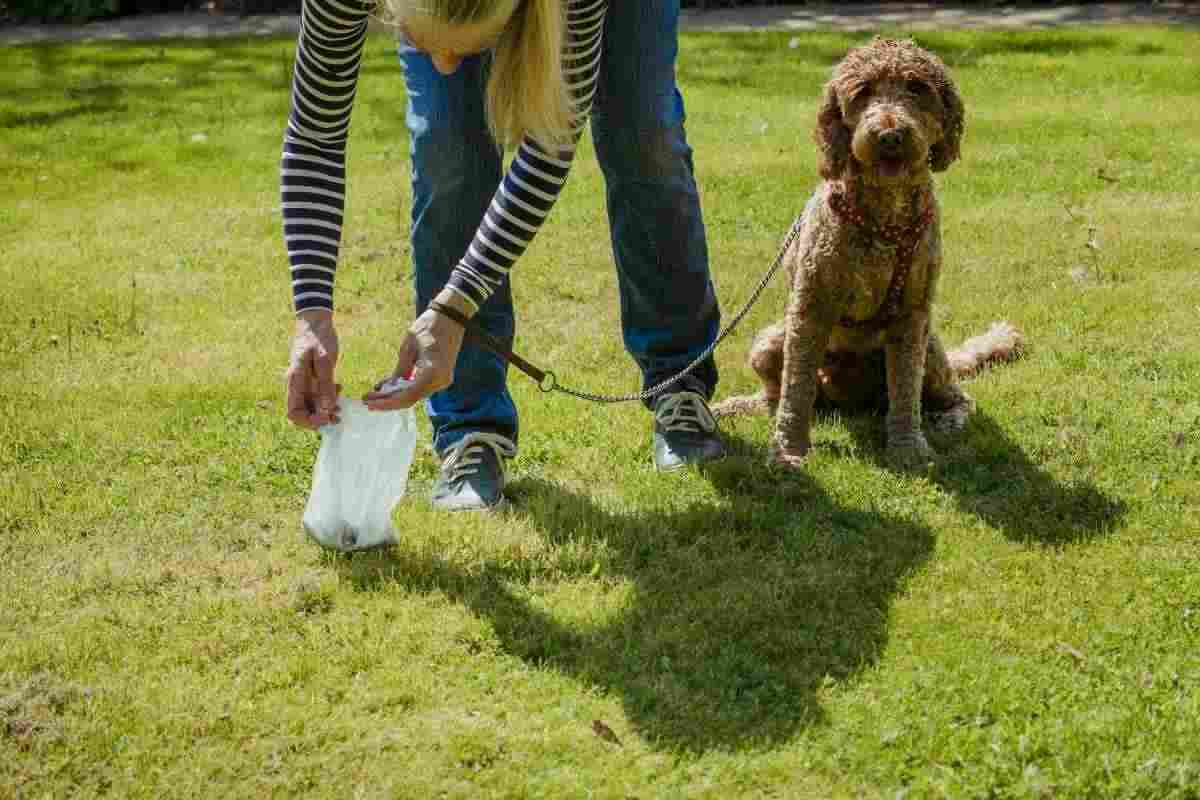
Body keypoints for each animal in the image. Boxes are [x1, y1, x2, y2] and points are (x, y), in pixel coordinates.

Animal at [710, 38, 1022, 470]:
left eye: (916, 88)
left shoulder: (912, 316)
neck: (884, 220)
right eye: (862, 92)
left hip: (929, 348)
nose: (889, 134)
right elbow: (795, 389)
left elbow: (905, 390)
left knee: (956, 396)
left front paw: (908, 448)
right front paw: (788, 450)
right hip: (770, 341)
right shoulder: (809, 309)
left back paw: (946, 421)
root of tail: (849, 400)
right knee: (775, 397)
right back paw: (732, 408)